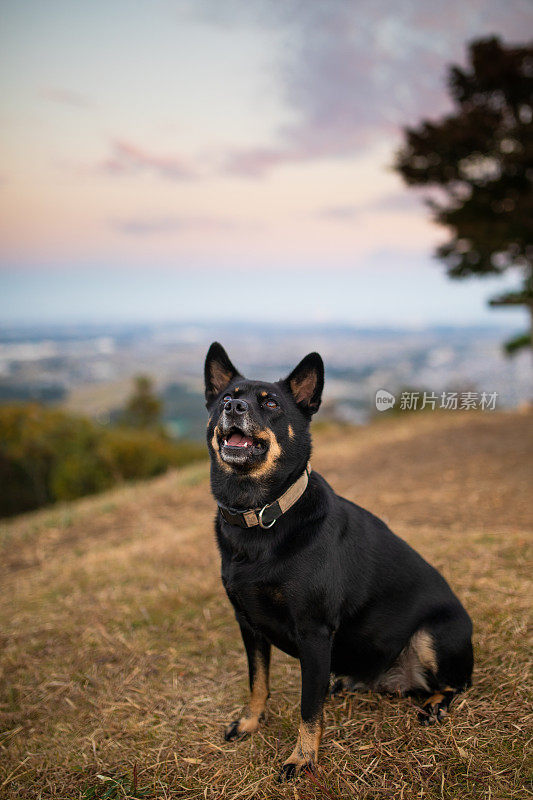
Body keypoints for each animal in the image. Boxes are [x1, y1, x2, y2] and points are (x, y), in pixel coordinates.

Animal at [203, 340, 470, 780]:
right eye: (226, 398)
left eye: (271, 403)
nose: (234, 408)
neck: (261, 515)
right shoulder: (248, 624)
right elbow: (258, 682)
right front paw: (250, 723)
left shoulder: (313, 632)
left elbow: (308, 707)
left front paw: (302, 758)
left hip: (434, 635)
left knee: (457, 684)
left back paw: (434, 705)